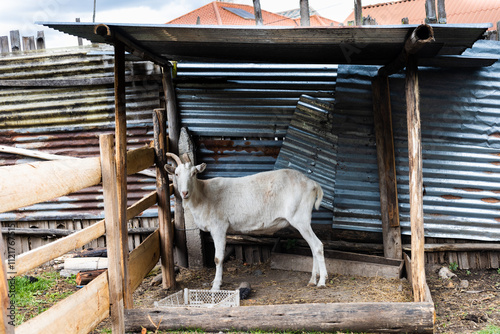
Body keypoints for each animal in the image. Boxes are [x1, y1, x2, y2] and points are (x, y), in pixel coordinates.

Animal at [165, 153, 328, 290]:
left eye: (193, 173)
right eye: (176, 174)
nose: (184, 193)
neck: (203, 194)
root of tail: (312, 183)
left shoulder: (219, 226)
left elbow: (218, 258)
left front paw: (216, 285)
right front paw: (215, 282)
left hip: (300, 218)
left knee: (317, 245)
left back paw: (321, 281)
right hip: (303, 221)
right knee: (312, 247)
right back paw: (312, 280)